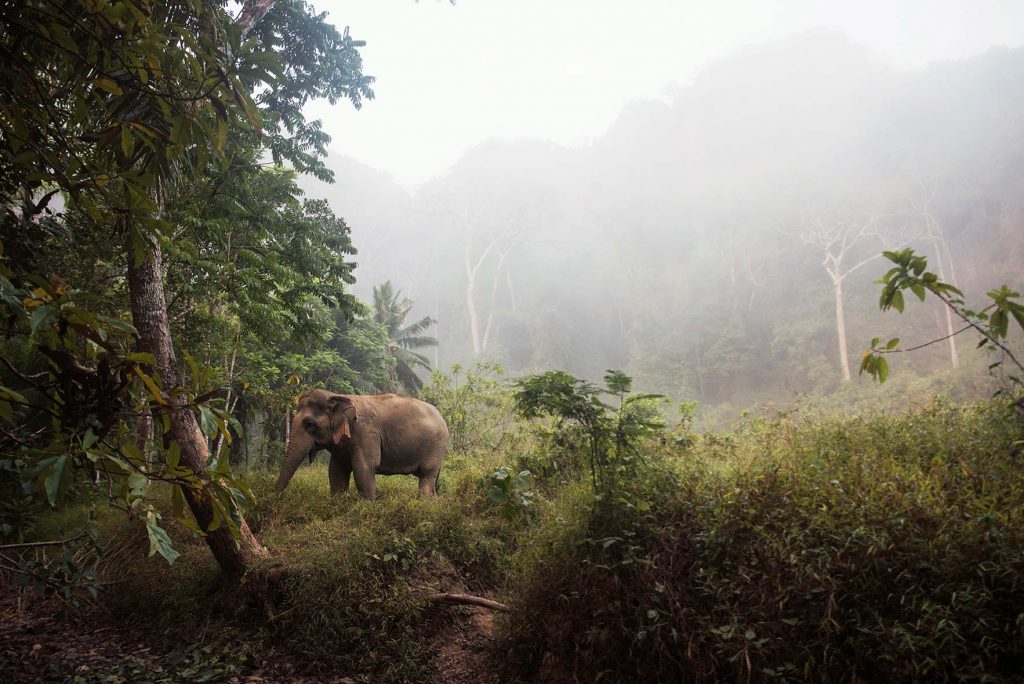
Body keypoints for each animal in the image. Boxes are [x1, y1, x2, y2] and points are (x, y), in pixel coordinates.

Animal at [276, 387, 448, 499]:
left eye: (309, 424)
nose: (276, 496)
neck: (338, 396)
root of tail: (441, 416)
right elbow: (336, 472)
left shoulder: (365, 432)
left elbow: (364, 469)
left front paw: (368, 506)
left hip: (435, 446)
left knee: (427, 475)